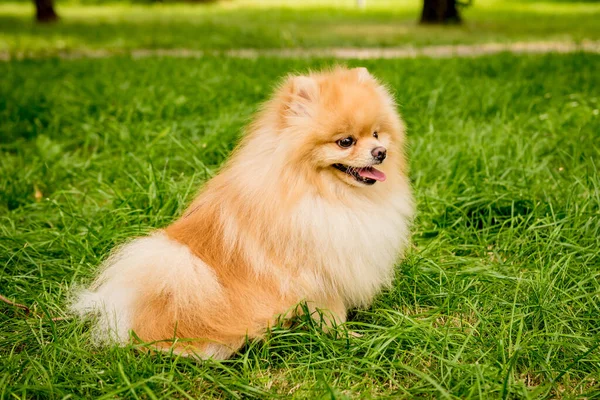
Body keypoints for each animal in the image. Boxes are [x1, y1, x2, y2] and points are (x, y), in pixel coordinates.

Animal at [72, 66, 414, 360]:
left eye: (377, 134)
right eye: (345, 141)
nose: (380, 153)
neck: (327, 194)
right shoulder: (315, 272)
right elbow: (332, 313)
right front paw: (347, 338)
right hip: (185, 277)